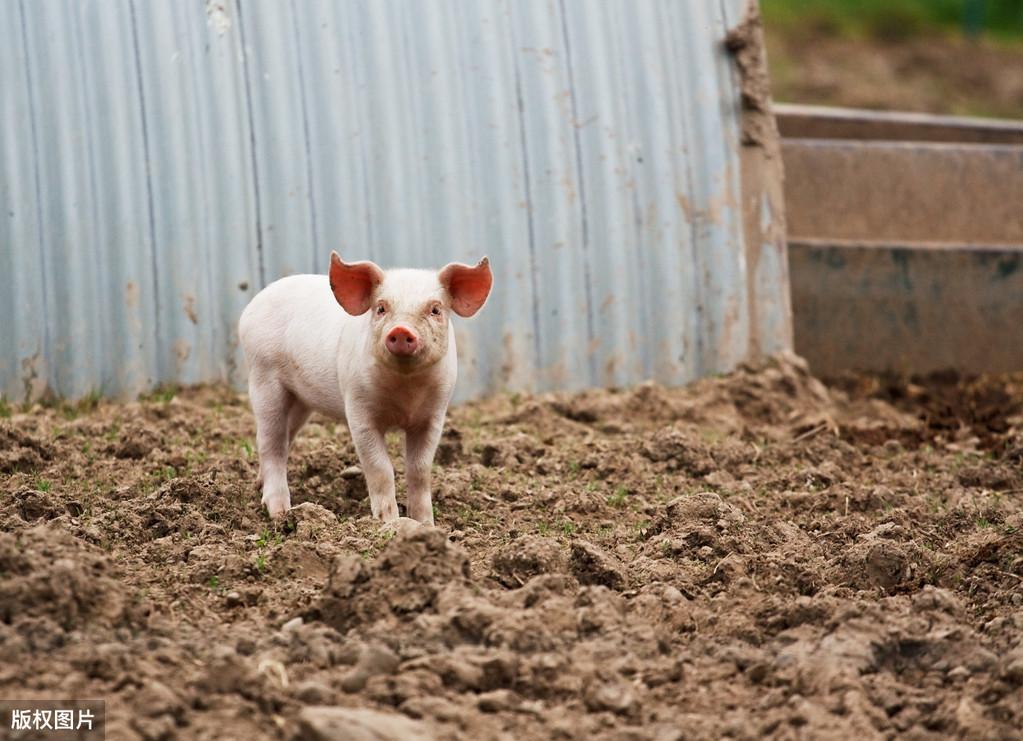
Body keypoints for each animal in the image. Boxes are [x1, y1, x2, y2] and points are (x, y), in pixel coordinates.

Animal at [240, 251, 495, 524]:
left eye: (435, 309)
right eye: (381, 308)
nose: (401, 330)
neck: (406, 389)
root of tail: (252, 306)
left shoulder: (434, 415)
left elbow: (419, 469)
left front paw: (426, 524)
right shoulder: (359, 410)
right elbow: (381, 467)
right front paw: (389, 523)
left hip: (300, 399)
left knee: (286, 435)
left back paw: (258, 486)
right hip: (263, 376)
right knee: (270, 442)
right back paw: (279, 512)